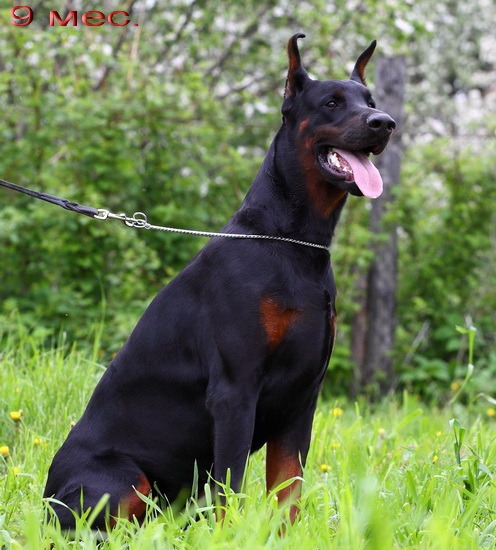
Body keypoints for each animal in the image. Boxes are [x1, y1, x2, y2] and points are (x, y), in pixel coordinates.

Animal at [43, 33, 395, 529]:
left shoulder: (303, 400)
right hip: (124, 480)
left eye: (371, 102)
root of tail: (44, 497)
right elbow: (230, 489)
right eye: (331, 102)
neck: (294, 244)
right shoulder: (234, 392)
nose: (386, 124)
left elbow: (288, 491)